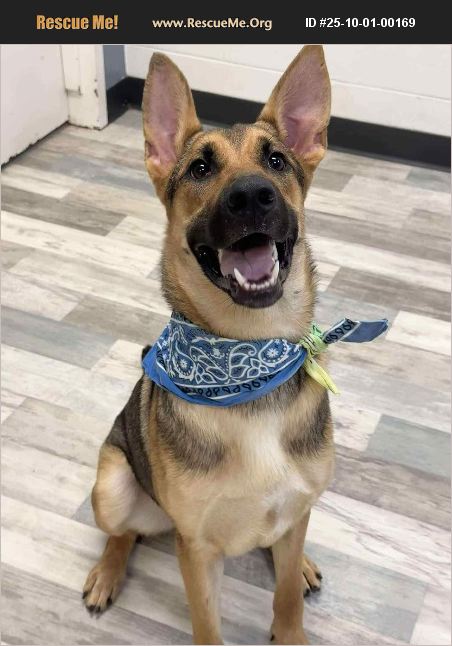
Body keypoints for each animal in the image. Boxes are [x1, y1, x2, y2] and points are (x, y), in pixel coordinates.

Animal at [83, 45, 334, 645]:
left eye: (276, 161)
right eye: (200, 168)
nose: (252, 196)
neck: (250, 364)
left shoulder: (295, 508)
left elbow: (285, 596)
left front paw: (291, 617)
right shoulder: (196, 549)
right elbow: (207, 624)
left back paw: (303, 563)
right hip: (112, 485)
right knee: (123, 533)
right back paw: (106, 572)